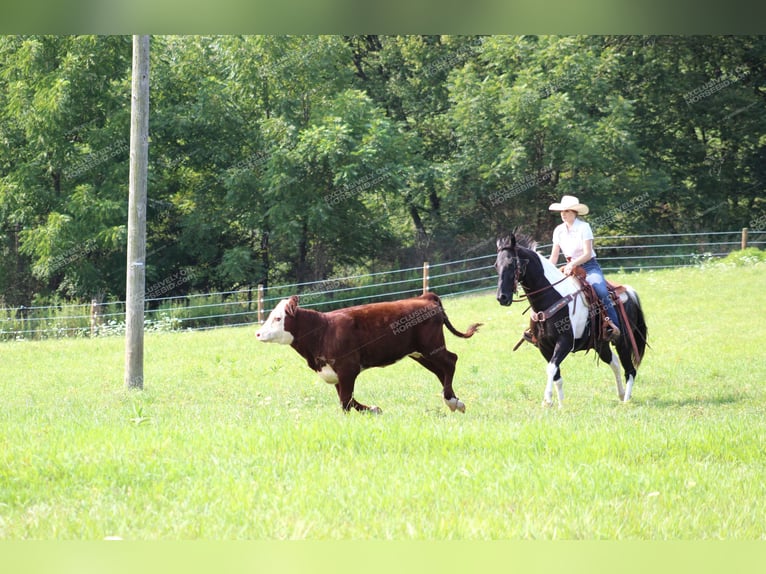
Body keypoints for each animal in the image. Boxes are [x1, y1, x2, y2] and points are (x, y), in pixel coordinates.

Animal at [255, 294, 480, 416]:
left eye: (277, 318)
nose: (257, 333)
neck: (322, 331)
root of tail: (424, 298)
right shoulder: (335, 374)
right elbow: (347, 400)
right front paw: (374, 409)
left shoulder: (348, 368)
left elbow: (346, 401)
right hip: (419, 352)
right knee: (441, 371)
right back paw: (455, 401)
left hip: (431, 346)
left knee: (451, 361)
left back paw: (451, 401)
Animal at [496, 232, 652, 408]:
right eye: (496, 265)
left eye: (511, 264)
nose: (502, 297)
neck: (551, 297)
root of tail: (629, 291)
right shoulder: (544, 346)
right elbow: (556, 373)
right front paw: (561, 405)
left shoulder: (565, 342)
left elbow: (551, 368)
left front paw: (547, 400)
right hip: (601, 345)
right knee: (615, 363)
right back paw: (620, 394)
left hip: (623, 341)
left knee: (630, 370)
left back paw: (626, 400)